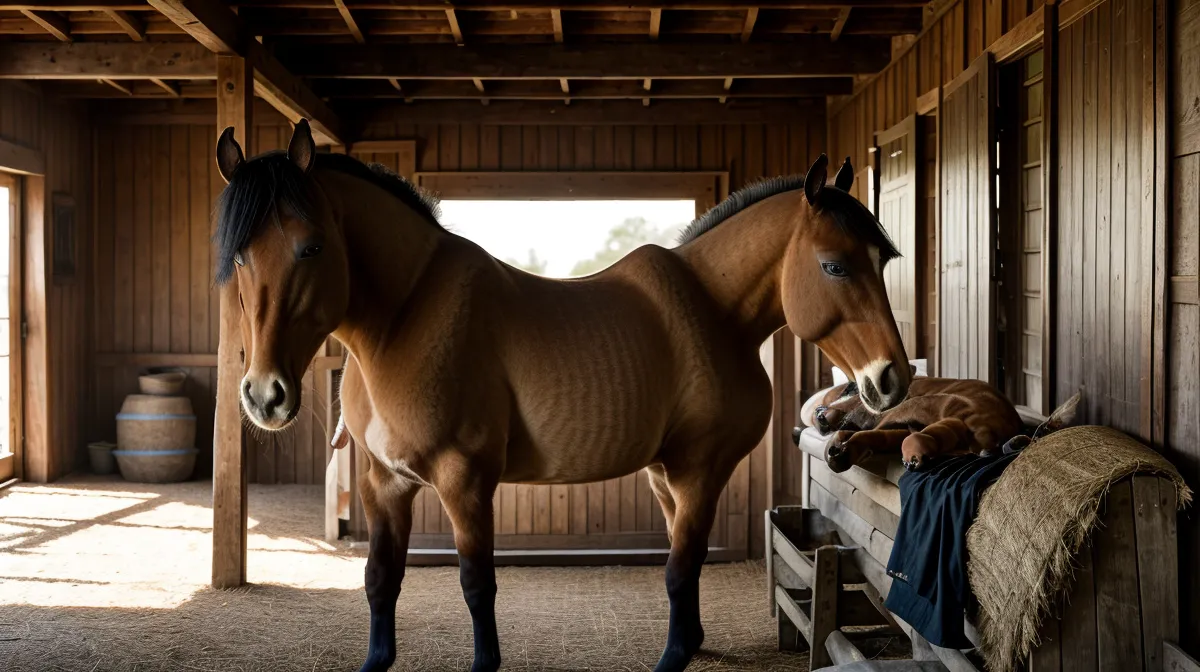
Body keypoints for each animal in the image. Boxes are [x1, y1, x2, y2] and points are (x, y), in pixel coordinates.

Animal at [213, 119, 913, 672]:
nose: (891, 379)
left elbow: (480, 584)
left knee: (682, 564)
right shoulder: (384, 482)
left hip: (689, 476)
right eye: (241, 257)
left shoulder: (467, 481)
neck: (404, 322)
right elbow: (381, 580)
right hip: (665, 476)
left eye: (311, 247)